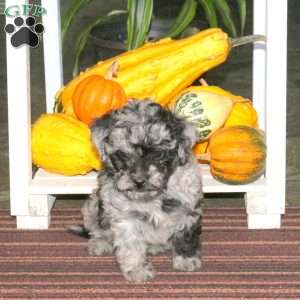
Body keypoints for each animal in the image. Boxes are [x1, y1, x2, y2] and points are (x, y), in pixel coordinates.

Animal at [74, 99, 203, 282]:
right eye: (122, 155)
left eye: (158, 154)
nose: (139, 181)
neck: (152, 196)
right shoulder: (125, 216)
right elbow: (131, 244)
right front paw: (137, 270)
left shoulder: (189, 207)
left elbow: (185, 234)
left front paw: (186, 259)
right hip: (92, 205)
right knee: (97, 229)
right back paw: (100, 243)